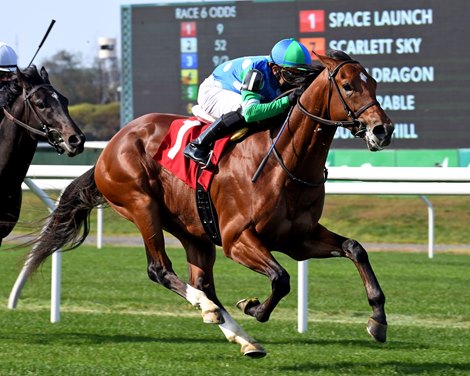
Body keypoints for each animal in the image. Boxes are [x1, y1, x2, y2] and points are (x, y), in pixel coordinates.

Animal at [19, 51, 392, 356]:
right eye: (347, 86)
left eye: (373, 83)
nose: (382, 129)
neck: (285, 161)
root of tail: (110, 146)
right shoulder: (237, 239)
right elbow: (281, 277)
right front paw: (253, 307)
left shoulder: (297, 238)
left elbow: (355, 248)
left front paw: (378, 319)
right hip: (141, 205)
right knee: (160, 269)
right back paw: (213, 313)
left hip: (193, 229)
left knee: (203, 282)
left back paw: (242, 338)